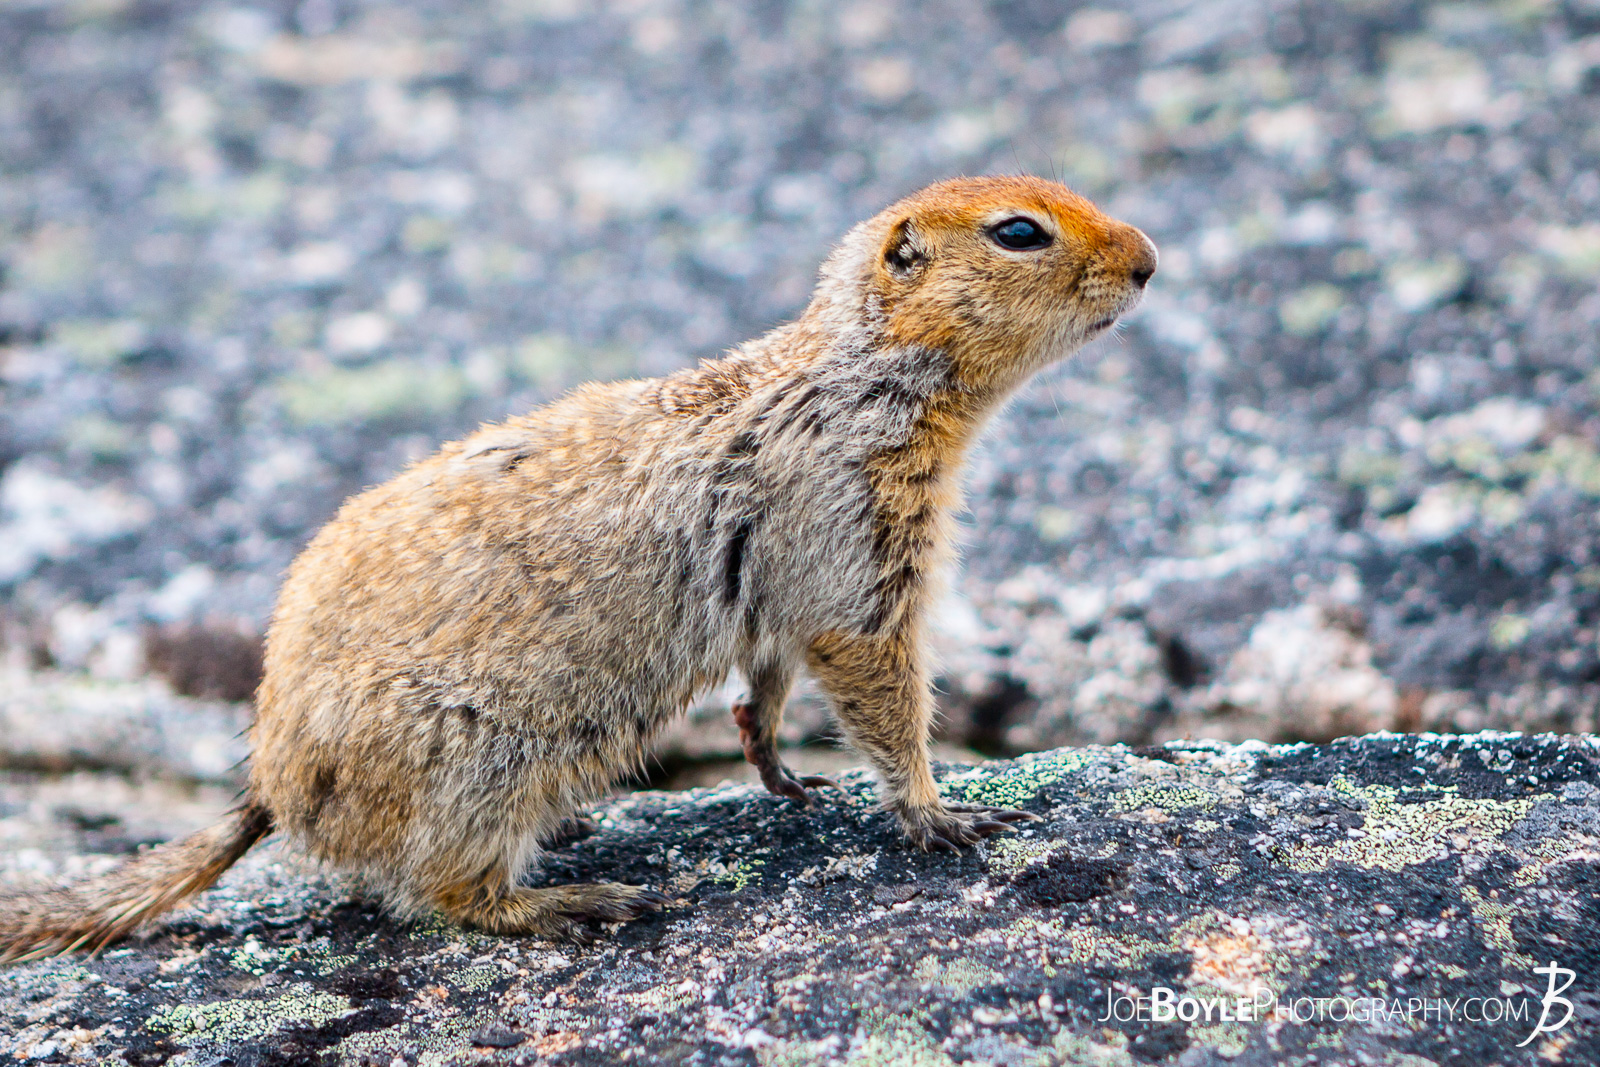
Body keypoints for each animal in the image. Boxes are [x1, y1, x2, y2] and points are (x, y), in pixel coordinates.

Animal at [0, 175, 1155, 959]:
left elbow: (774, 663)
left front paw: (778, 762)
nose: (1150, 258)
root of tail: (267, 785)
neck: (866, 376)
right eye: (1019, 230)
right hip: (481, 756)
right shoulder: (852, 521)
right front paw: (943, 811)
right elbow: (872, 666)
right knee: (444, 892)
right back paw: (576, 898)